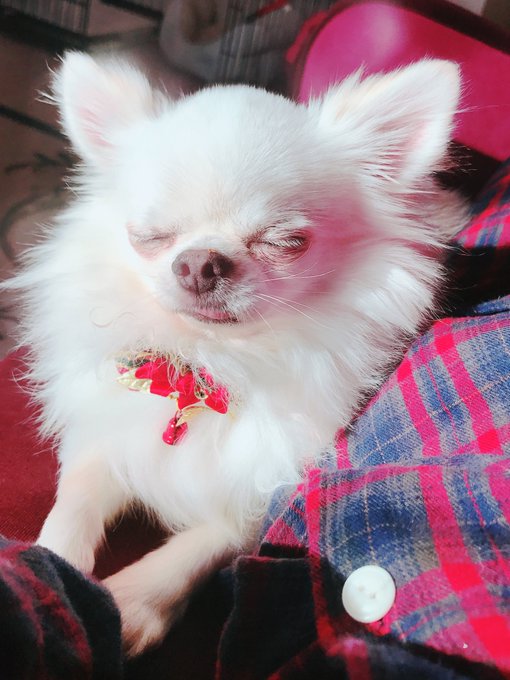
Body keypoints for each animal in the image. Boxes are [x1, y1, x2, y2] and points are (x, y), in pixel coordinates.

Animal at [8, 53, 467, 655]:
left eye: (284, 241)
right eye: (149, 236)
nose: (200, 261)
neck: (207, 365)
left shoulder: (262, 496)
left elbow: (201, 543)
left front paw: (126, 605)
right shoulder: (106, 434)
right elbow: (73, 503)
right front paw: (52, 568)